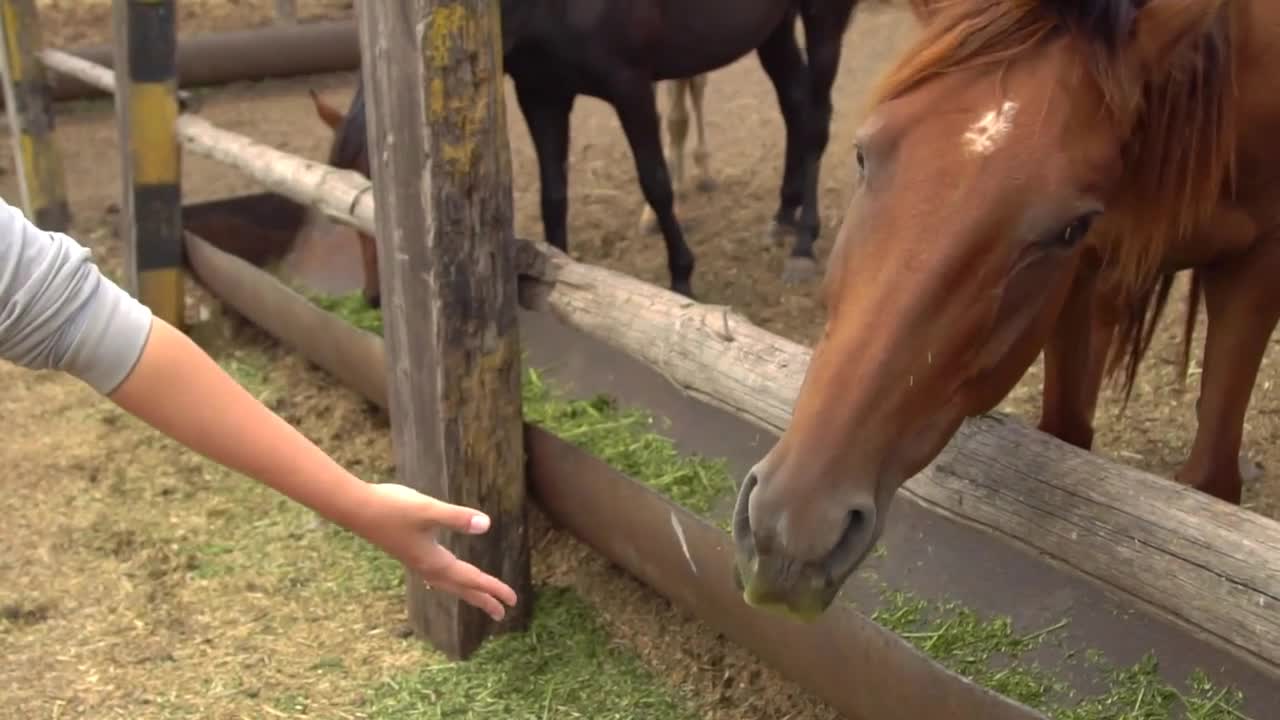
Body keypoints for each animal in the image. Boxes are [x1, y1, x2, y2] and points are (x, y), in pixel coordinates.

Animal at [309, 0, 860, 303]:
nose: (373, 298)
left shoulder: (631, 86)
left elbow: (656, 182)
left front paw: (681, 276)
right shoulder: (541, 93)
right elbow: (554, 194)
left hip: (823, 16)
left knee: (816, 120)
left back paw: (803, 244)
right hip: (773, 28)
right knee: (794, 106)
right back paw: (784, 214)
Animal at [732, 0, 1280, 617]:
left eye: (1068, 228)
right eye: (862, 154)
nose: (790, 533)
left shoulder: (1258, 266)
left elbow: (1212, 481)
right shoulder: (1087, 272)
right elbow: (1068, 429)